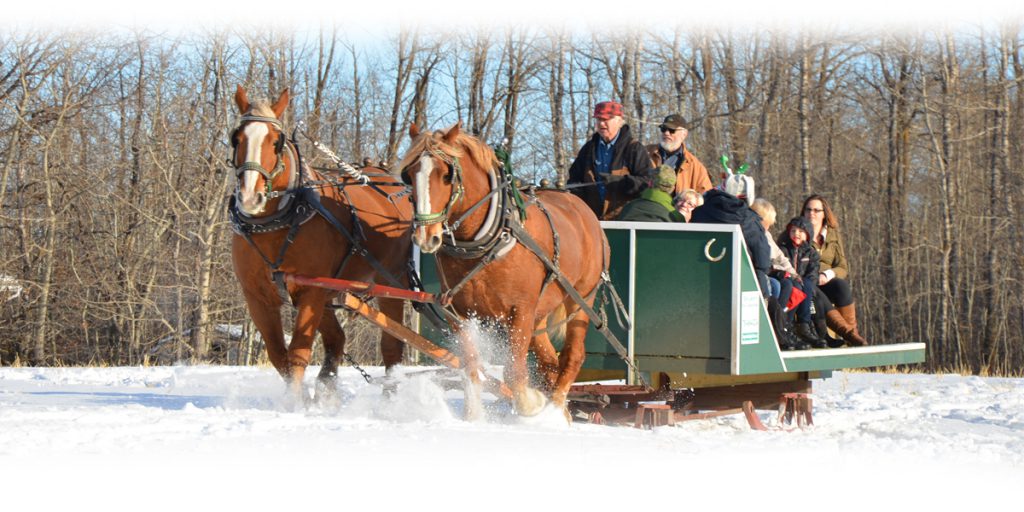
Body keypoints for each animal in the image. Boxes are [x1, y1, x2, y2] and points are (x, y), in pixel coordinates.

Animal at [229, 86, 411, 399]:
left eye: (276, 142)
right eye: (236, 138)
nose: (251, 197)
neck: (279, 223)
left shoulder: (311, 291)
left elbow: (298, 354)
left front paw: (293, 404)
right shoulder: (257, 297)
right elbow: (279, 356)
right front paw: (302, 398)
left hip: (392, 282)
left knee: (391, 347)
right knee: (337, 339)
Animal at [397, 121, 606, 417]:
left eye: (447, 175)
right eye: (408, 176)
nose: (426, 236)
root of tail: (583, 210)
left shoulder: (520, 311)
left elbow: (514, 374)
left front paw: (532, 403)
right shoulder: (459, 314)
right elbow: (471, 370)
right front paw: (473, 417)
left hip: (580, 299)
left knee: (571, 357)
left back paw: (554, 410)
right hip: (540, 313)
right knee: (549, 363)